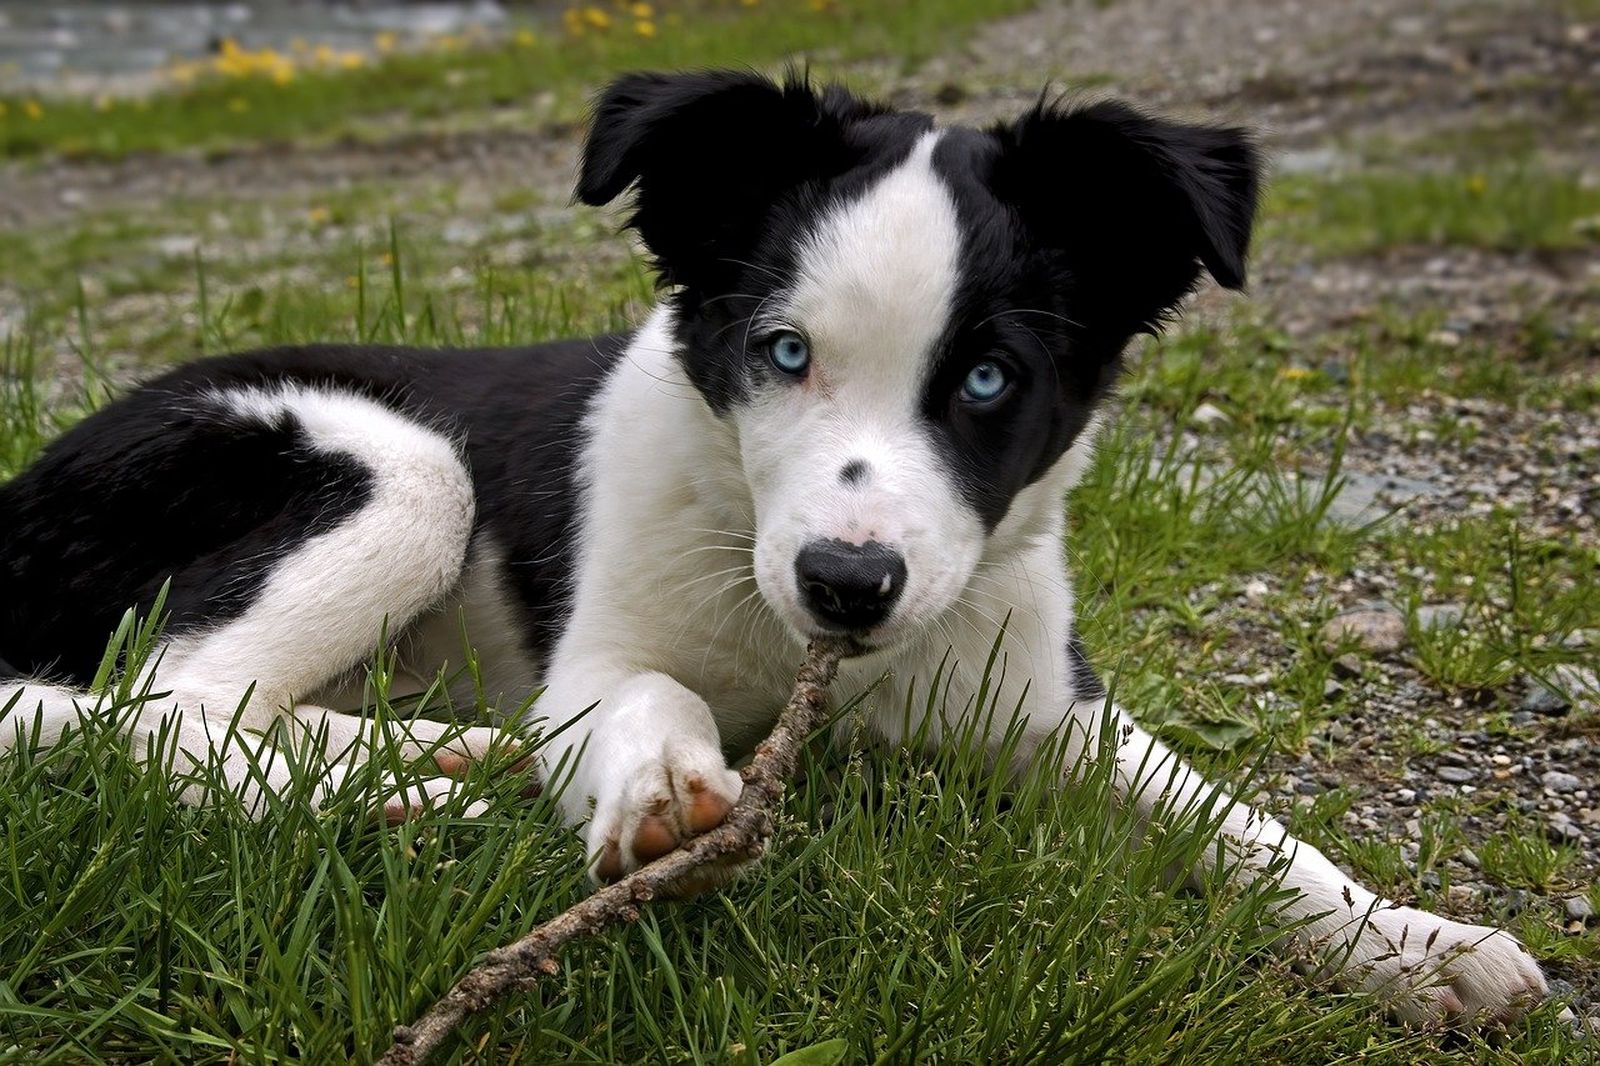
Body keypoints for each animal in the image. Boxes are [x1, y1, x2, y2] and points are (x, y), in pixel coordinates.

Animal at [3, 70, 1548, 1024]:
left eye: (988, 378)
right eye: (782, 352)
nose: (847, 585)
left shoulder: (1043, 700)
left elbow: (1232, 819)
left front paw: (1415, 939)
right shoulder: (591, 666)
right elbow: (641, 696)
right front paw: (664, 788)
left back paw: (415, 761)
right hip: (403, 466)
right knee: (150, 700)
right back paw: (397, 783)